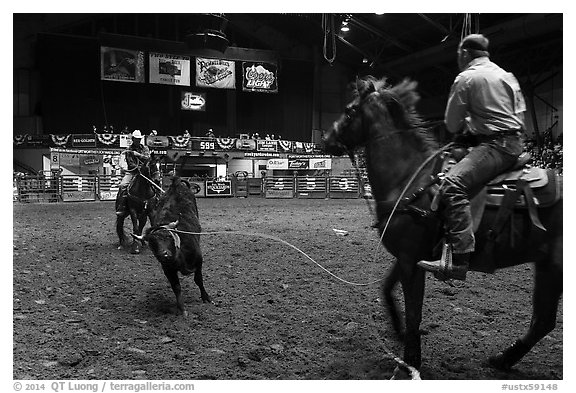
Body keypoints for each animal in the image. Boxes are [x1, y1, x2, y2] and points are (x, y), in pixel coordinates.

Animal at [134, 177, 212, 316]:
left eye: (169, 237)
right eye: (152, 243)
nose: (165, 254)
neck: (178, 255)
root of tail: (176, 185)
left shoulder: (199, 259)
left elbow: (198, 279)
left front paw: (205, 297)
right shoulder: (167, 269)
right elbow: (176, 287)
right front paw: (181, 309)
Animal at [324, 76, 564, 376]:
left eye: (349, 111)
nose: (326, 140)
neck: (408, 179)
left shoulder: (410, 258)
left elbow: (414, 311)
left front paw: (410, 362)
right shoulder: (409, 257)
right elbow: (387, 289)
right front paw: (399, 332)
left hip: (554, 267)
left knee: (543, 320)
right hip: (545, 266)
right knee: (543, 321)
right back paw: (502, 359)